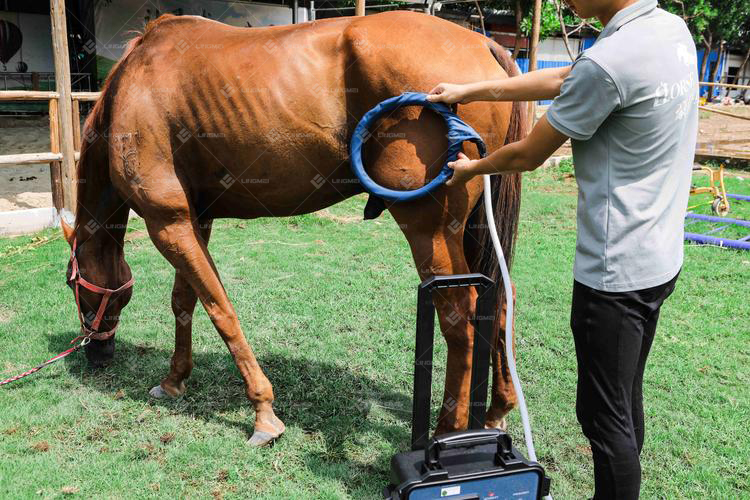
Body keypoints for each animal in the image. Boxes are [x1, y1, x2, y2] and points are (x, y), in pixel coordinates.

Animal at [60, 10, 526, 446]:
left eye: (73, 285)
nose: (96, 352)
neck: (134, 84)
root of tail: (482, 44)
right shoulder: (192, 221)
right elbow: (184, 302)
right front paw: (175, 380)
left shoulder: (166, 224)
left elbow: (219, 309)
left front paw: (263, 412)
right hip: (474, 229)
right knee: (500, 298)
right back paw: (495, 412)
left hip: (429, 230)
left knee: (459, 316)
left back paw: (449, 431)